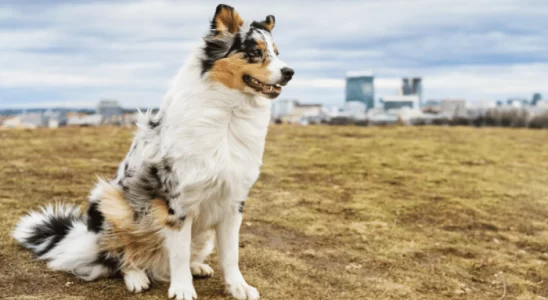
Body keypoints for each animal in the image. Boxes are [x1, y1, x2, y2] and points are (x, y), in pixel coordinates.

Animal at [11, 3, 292, 298]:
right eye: (255, 52)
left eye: (277, 53)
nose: (290, 72)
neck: (229, 114)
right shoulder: (176, 202)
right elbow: (178, 253)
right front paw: (182, 289)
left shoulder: (233, 200)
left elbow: (230, 254)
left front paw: (238, 287)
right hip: (110, 202)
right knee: (120, 256)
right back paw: (136, 276)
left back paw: (196, 266)